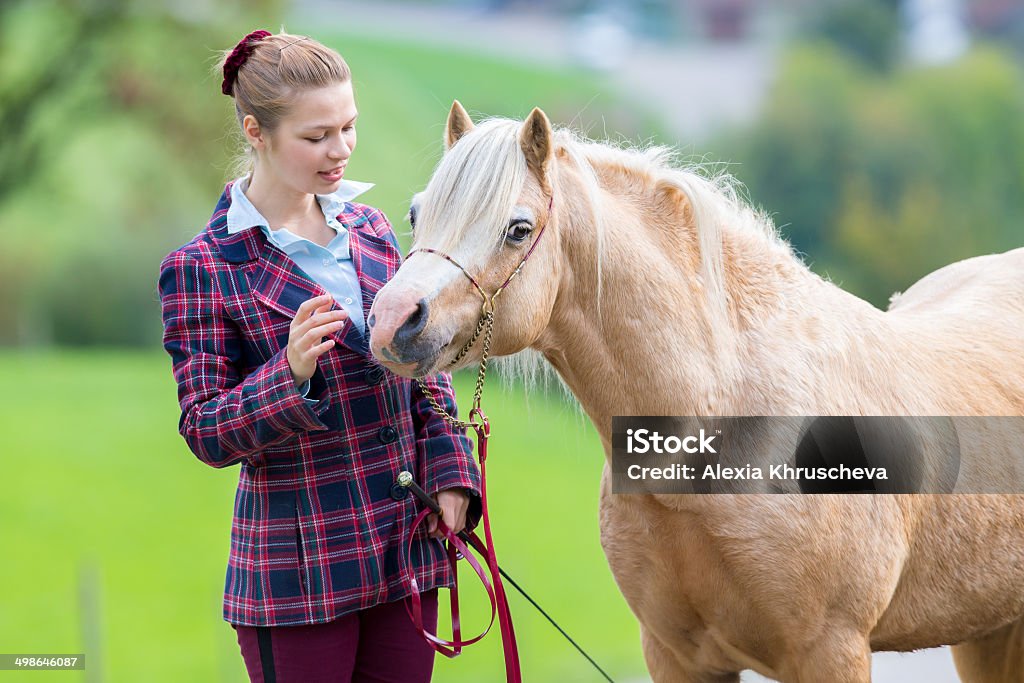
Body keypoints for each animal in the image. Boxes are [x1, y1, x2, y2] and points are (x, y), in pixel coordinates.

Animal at [368, 102, 1024, 683]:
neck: (725, 425)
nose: (392, 322)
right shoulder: (676, 655)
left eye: (518, 228)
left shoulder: (832, 653)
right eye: (415, 213)